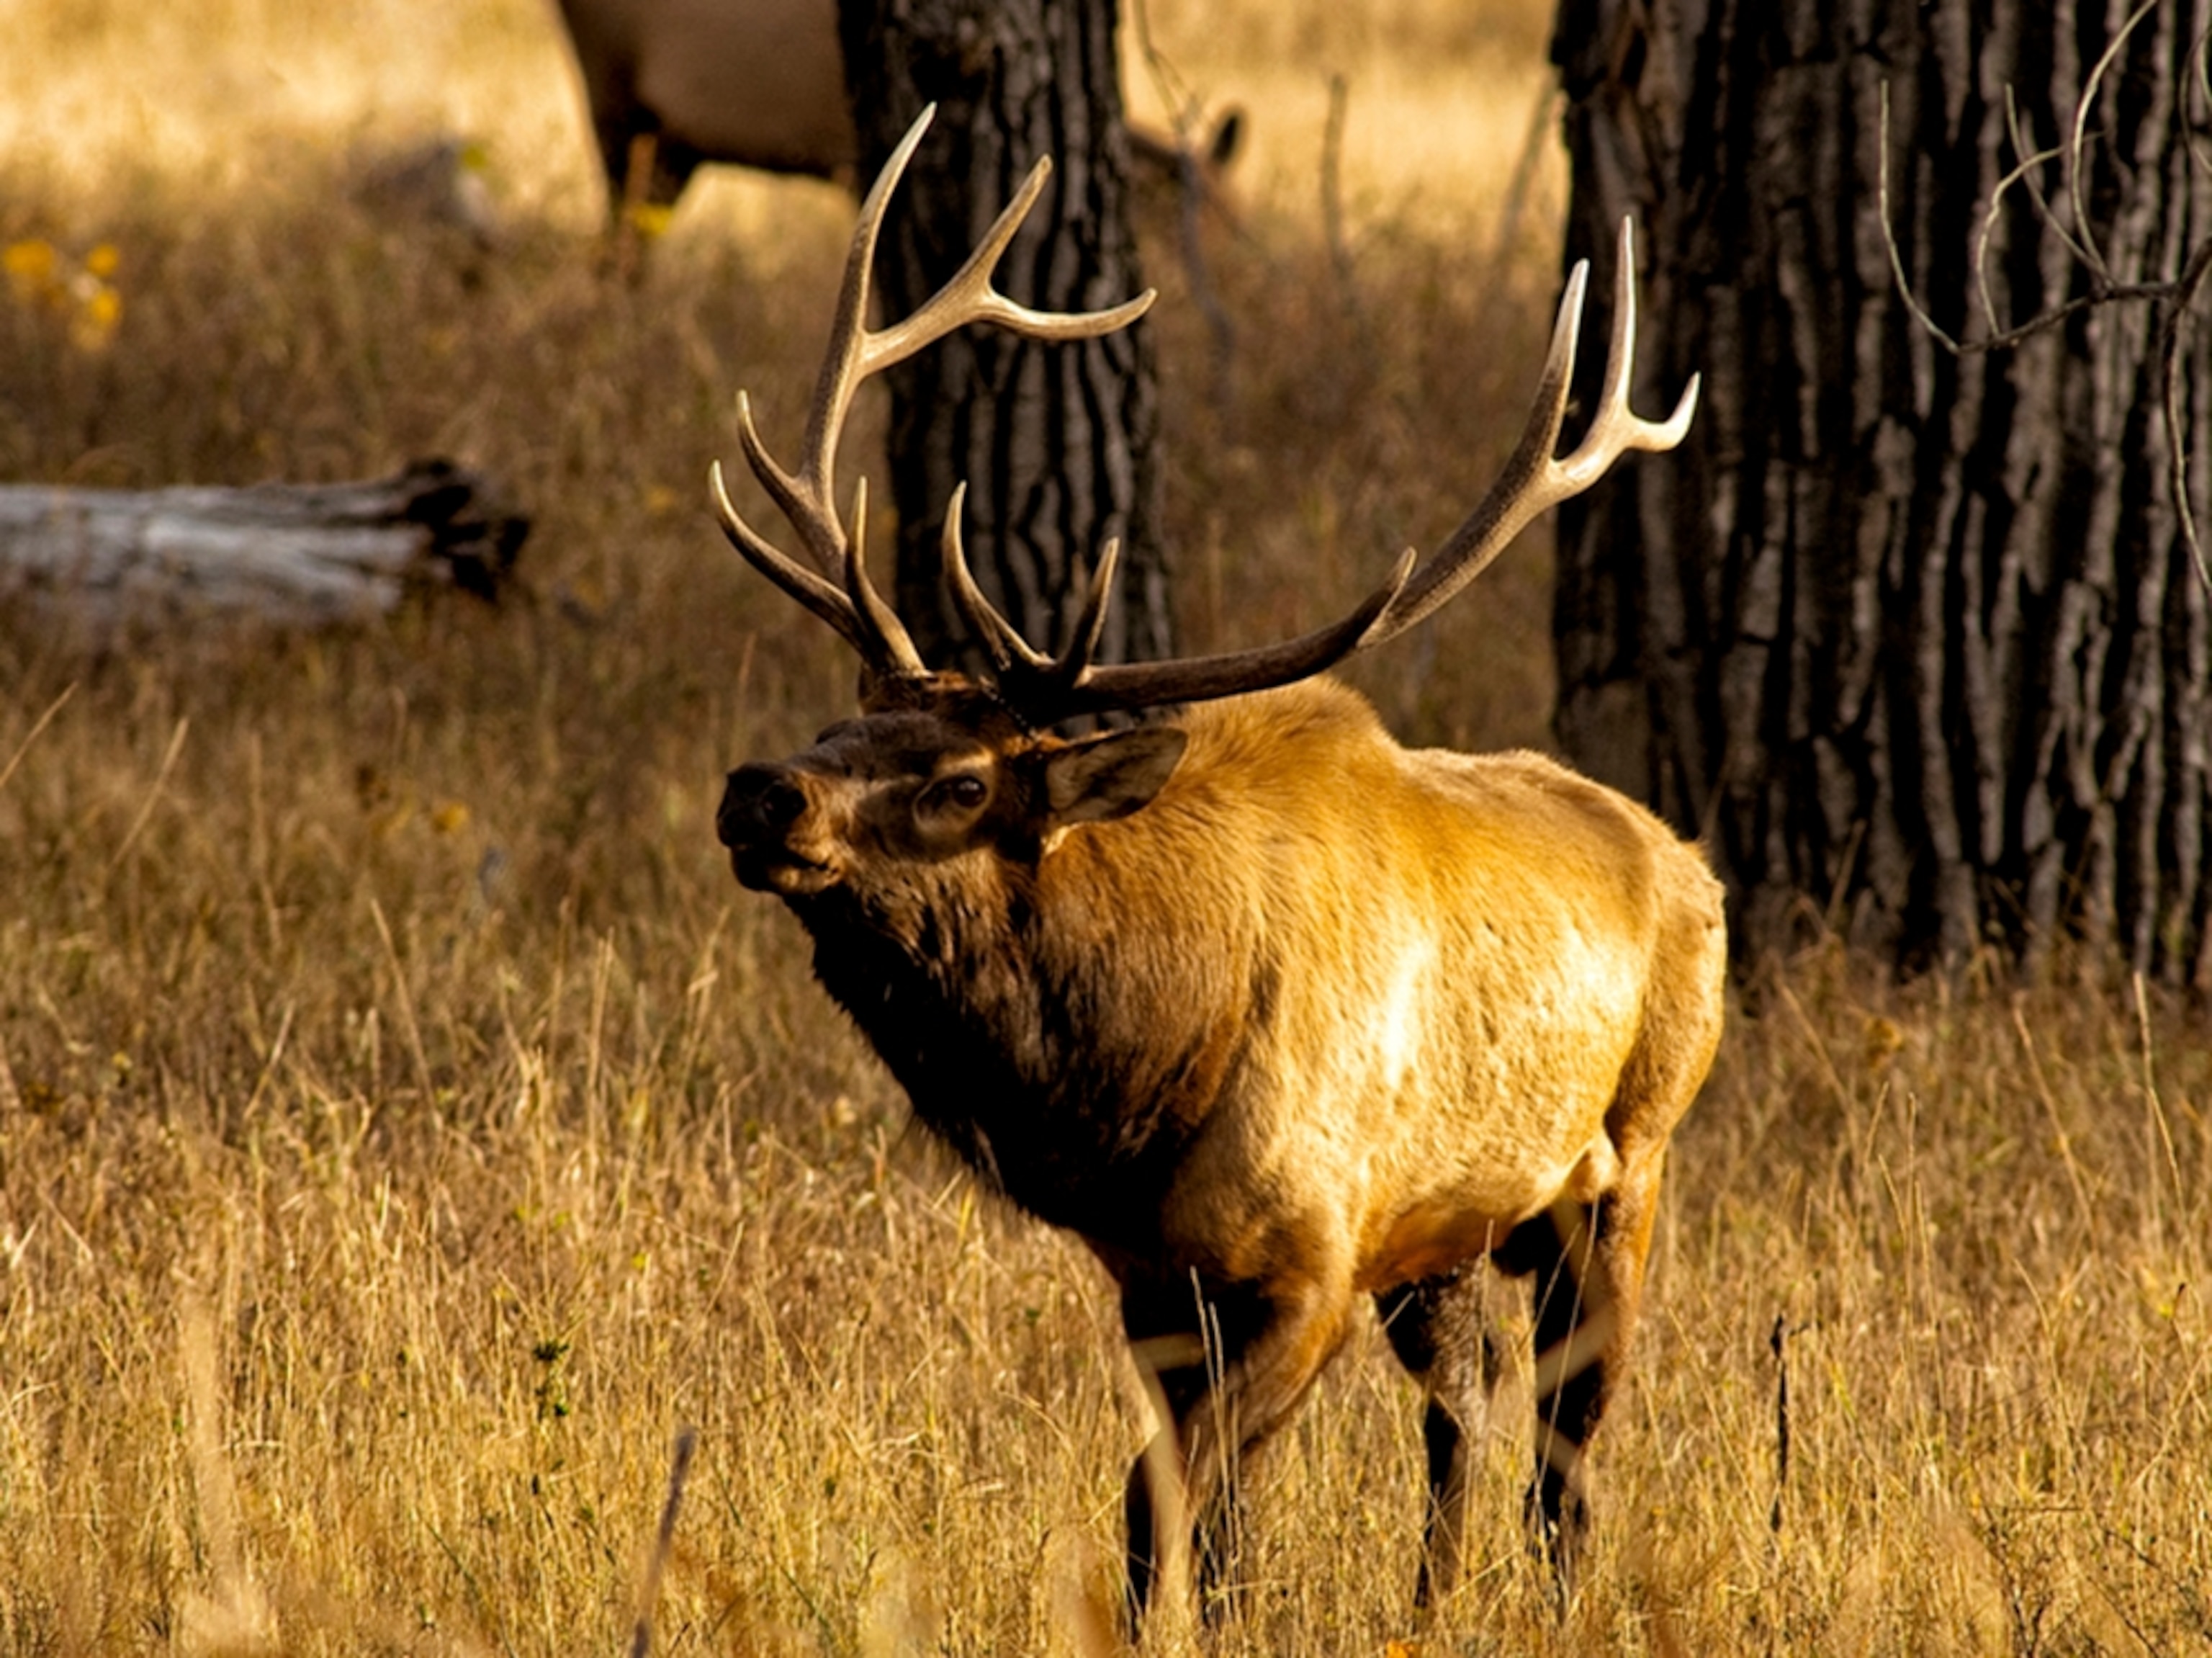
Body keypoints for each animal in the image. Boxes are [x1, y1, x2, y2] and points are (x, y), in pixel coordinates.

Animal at [710, 105, 1725, 1627]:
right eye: (839, 725)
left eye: (960, 784)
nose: (761, 792)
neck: (1126, 1094)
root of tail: (1692, 867)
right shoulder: (1152, 1279)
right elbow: (1208, 1525)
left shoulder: (1308, 1258)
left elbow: (1162, 1506)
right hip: (1445, 1232)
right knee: (1469, 1409)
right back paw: (1425, 1612)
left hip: (1625, 1164)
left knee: (1567, 1453)